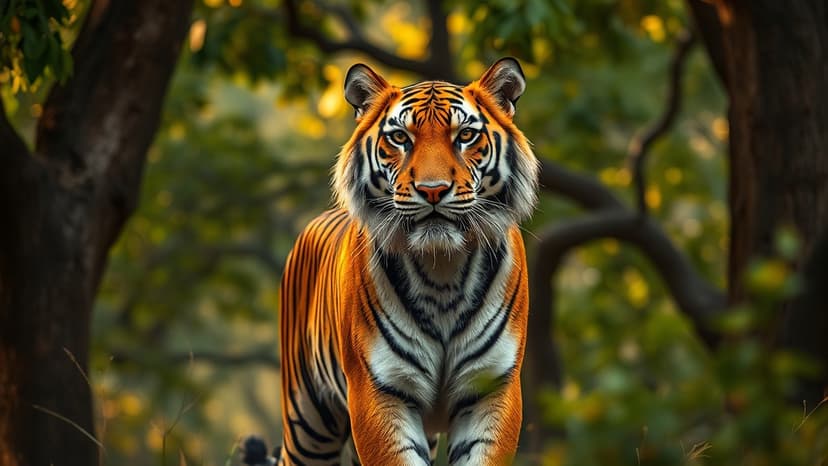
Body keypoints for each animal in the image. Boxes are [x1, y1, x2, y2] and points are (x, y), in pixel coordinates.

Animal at [276, 57, 539, 466]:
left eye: (465, 136)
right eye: (400, 138)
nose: (433, 190)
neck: (442, 267)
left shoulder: (492, 387)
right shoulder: (378, 389)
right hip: (308, 422)